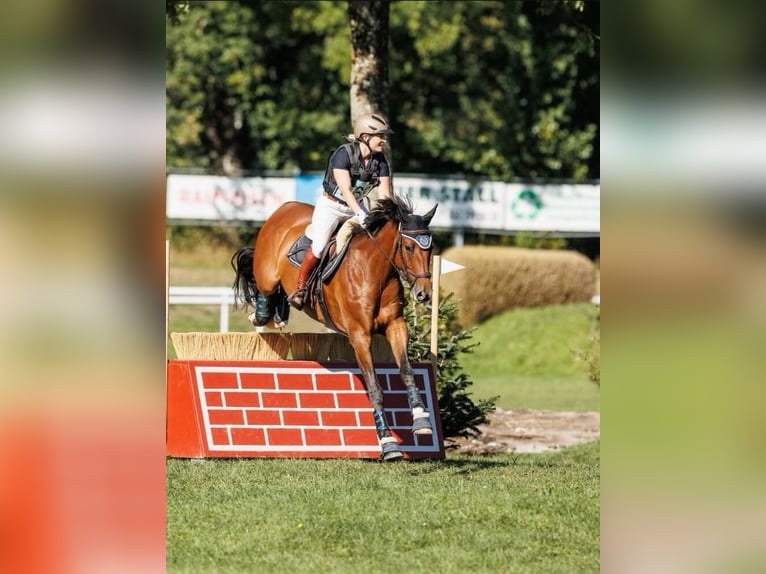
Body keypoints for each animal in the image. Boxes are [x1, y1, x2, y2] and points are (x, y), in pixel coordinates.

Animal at [231, 196, 437, 460]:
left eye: (430, 249)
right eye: (409, 248)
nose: (424, 294)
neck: (374, 271)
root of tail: (285, 207)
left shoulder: (396, 326)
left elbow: (407, 371)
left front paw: (422, 420)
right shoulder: (359, 336)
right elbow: (374, 388)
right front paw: (388, 443)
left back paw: (278, 313)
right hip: (267, 274)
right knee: (263, 284)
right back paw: (264, 314)